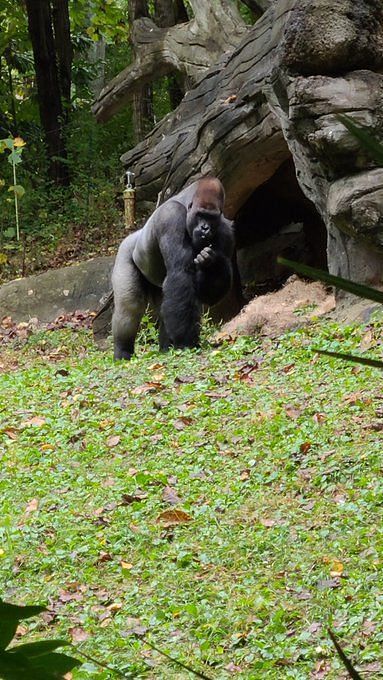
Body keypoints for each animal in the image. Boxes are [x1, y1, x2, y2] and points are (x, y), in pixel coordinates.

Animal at [112, 174, 234, 362]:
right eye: (200, 215)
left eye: (211, 217)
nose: (205, 228)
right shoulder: (171, 216)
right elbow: (180, 272)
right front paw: (185, 343)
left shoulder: (226, 231)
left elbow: (208, 293)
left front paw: (212, 262)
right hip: (125, 251)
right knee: (130, 307)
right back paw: (122, 351)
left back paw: (165, 348)